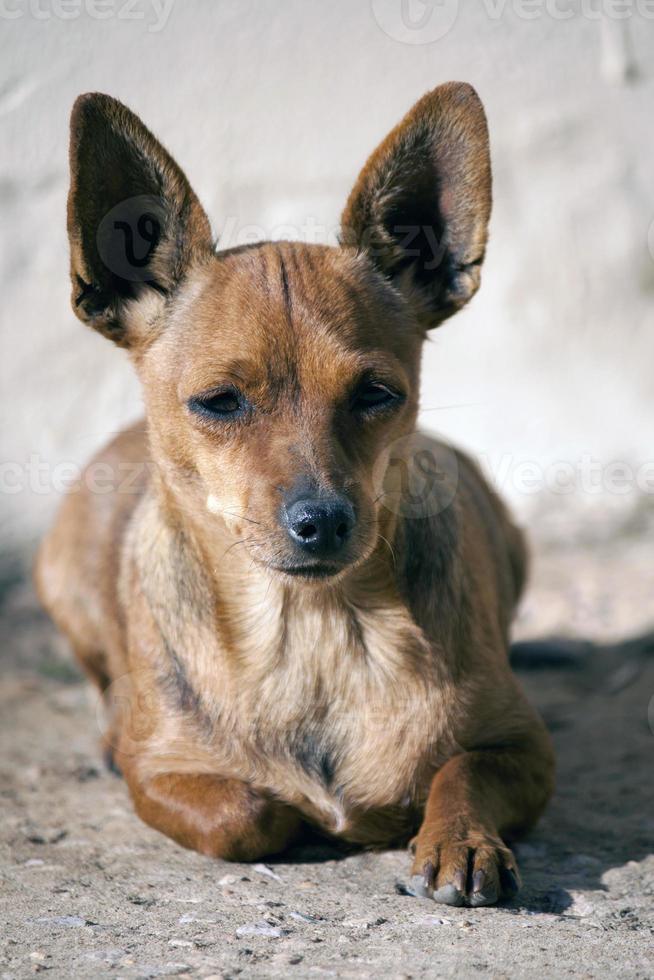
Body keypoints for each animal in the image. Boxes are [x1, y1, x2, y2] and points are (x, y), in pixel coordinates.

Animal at [36, 80, 556, 908]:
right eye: (218, 402)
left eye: (377, 394)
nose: (323, 520)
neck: (311, 628)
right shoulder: (161, 771)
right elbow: (249, 813)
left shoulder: (526, 748)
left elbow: (461, 770)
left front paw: (458, 839)